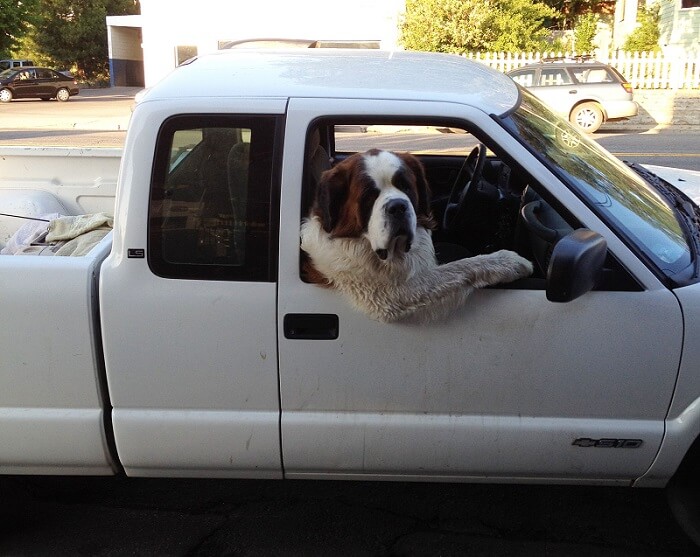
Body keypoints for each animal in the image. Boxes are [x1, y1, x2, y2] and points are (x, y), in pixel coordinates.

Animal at [298, 149, 532, 322]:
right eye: (369, 196)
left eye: (406, 187)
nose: (397, 206)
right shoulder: (393, 294)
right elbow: (461, 266)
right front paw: (510, 261)